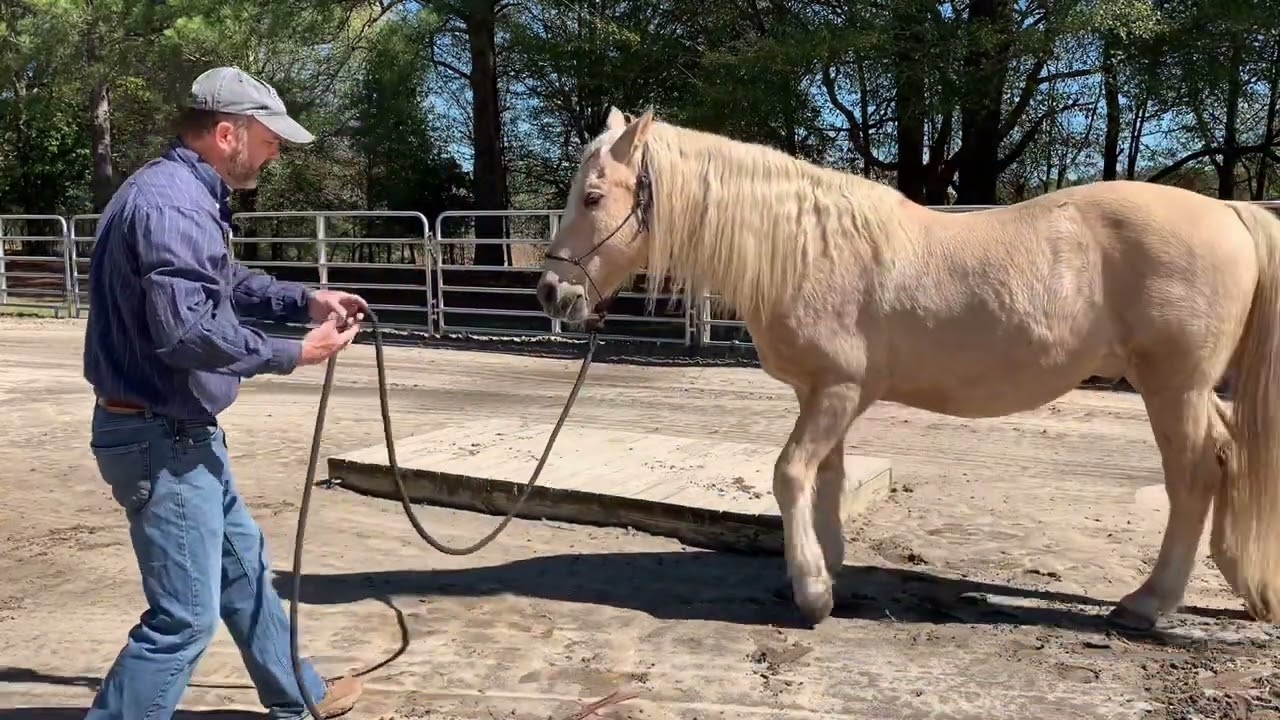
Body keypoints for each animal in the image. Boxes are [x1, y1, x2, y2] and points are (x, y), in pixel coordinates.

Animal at [533, 106, 1280, 631]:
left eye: (594, 196)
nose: (549, 292)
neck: (808, 247)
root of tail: (1231, 211)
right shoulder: (822, 394)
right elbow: (826, 480)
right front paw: (823, 568)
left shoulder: (837, 391)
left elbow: (790, 474)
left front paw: (812, 592)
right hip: (1191, 391)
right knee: (1226, 459)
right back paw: (1241, 582)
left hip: (1171, 387)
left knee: (1194, 476)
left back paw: (1149, 603)